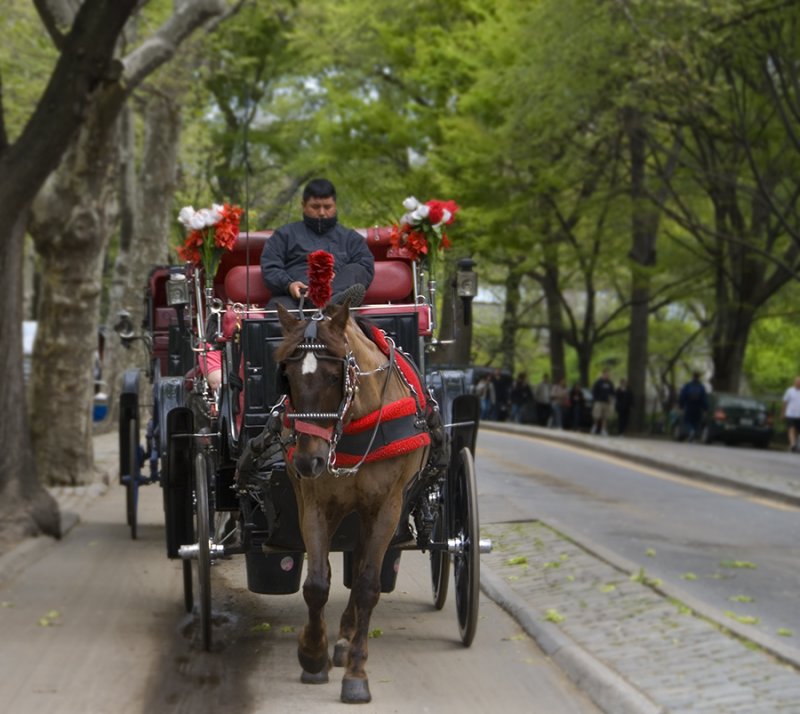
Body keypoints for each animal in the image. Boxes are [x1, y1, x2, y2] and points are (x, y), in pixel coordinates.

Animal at [272, 298, 432, 700]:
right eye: (288, 376)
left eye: (334, 376)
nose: (308, 460)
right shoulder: (315, 503)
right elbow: (316, 584)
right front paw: (313, 655)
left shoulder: (388, 506)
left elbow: (366, 585)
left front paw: (357, 673)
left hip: (371, 510)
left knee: (360, 563)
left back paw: (346, 639)